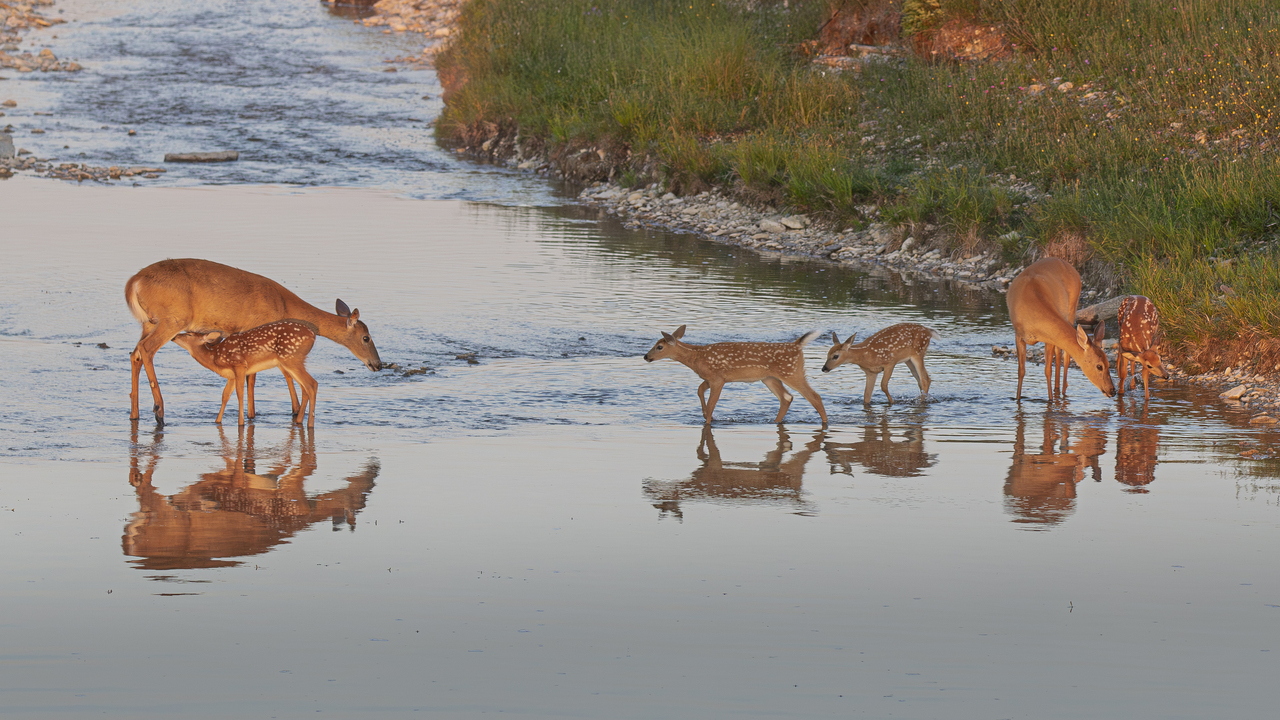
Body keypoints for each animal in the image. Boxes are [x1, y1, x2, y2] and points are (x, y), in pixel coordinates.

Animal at [170, 320, 320, 427]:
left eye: (189, 334)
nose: (174, 337)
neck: (215, 357)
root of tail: (312, 336)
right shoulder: (231, 375)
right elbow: (225, 395)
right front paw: (217, 421)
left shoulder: (239, 364)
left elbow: (240, 392)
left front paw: (240, 422)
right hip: (290, 362)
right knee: (305, 388)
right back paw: (300, 421)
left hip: (291, 358)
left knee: (312, 384)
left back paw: (310, 424)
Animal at [643, 325, 828, 427]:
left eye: (659, 347)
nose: (646, 356)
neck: (696, 357)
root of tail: (797, 345)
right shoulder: (710, 378)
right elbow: (699, 390)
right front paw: (704, 414)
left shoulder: (718, 379)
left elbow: (712, 404)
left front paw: (708, 422)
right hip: (769, 377)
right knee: (787, 397)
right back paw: (775, 422)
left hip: (791, 372)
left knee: (814, 396)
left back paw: (825, 423)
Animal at [1006, 257, 1116, 400]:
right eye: (1099, 366)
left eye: (1108, 363)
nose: (1112, 390)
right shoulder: (1019, 335)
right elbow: (1021, 371)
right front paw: (1017, 398)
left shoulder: (1048, 338)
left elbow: (1048, 370)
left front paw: (1050, 400)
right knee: (1059, 356)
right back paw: (1057, 390)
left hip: (1072, 307)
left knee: (1064, 358)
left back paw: (1062, 392)